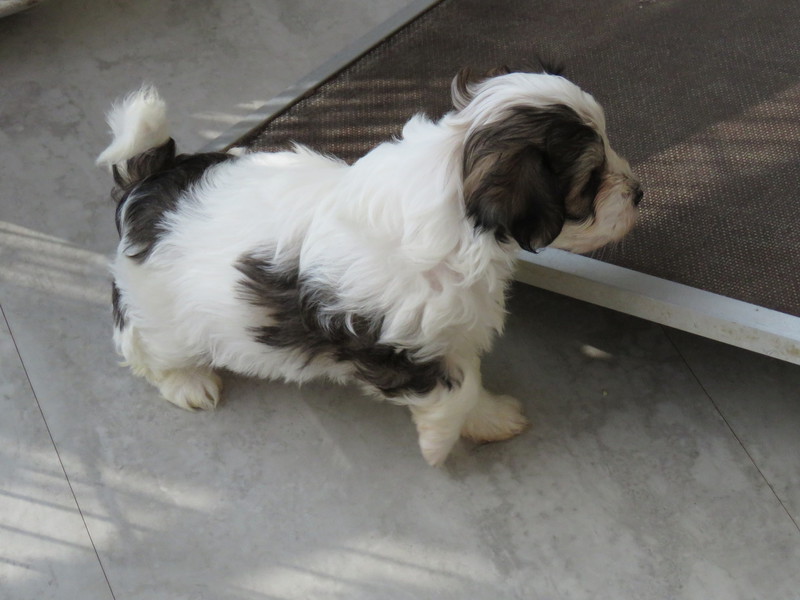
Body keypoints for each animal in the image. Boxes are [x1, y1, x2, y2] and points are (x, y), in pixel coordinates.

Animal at [97, 66, 642, 466]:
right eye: (591, 180)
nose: (638, 193)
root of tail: (148, 181)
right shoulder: (397, 344)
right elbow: (455, 389)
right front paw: (440, 444)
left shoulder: (450, 329)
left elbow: (469, 378)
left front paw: (489, 418)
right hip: (161, 311)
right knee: (144, 348)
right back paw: (187, 382)